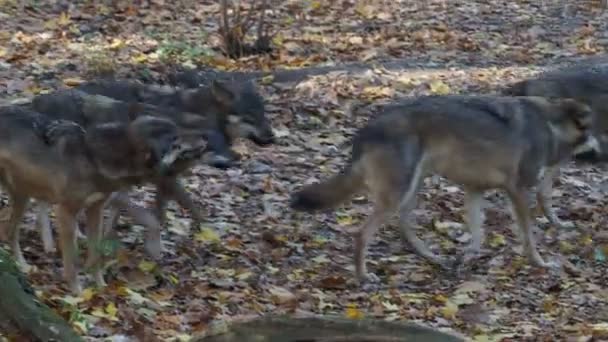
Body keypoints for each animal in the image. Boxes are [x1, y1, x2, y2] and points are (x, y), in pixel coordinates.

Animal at [0, 105, 205, 292]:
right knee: (11, 230)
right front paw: (77, 293)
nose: (205, 138)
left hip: (23, 196)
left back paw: (23, 265)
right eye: (175, 140)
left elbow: (96, 254)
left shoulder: (95, 210)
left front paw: (101, 287)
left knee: (9, 231)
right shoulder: (66, 211)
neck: (94, 157)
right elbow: (72, 261)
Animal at [288, 95, 592, 282]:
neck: (551, 125)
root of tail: (365, 130)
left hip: (412, 189)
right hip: (399, 194)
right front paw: (540, 264)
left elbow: (477, 235)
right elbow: (528, 236)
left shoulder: (474, 190)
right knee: (362, 234)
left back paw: (433, 258)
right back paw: (364, 276)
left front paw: (465, 260)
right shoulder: (517, 190)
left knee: (404, 227)